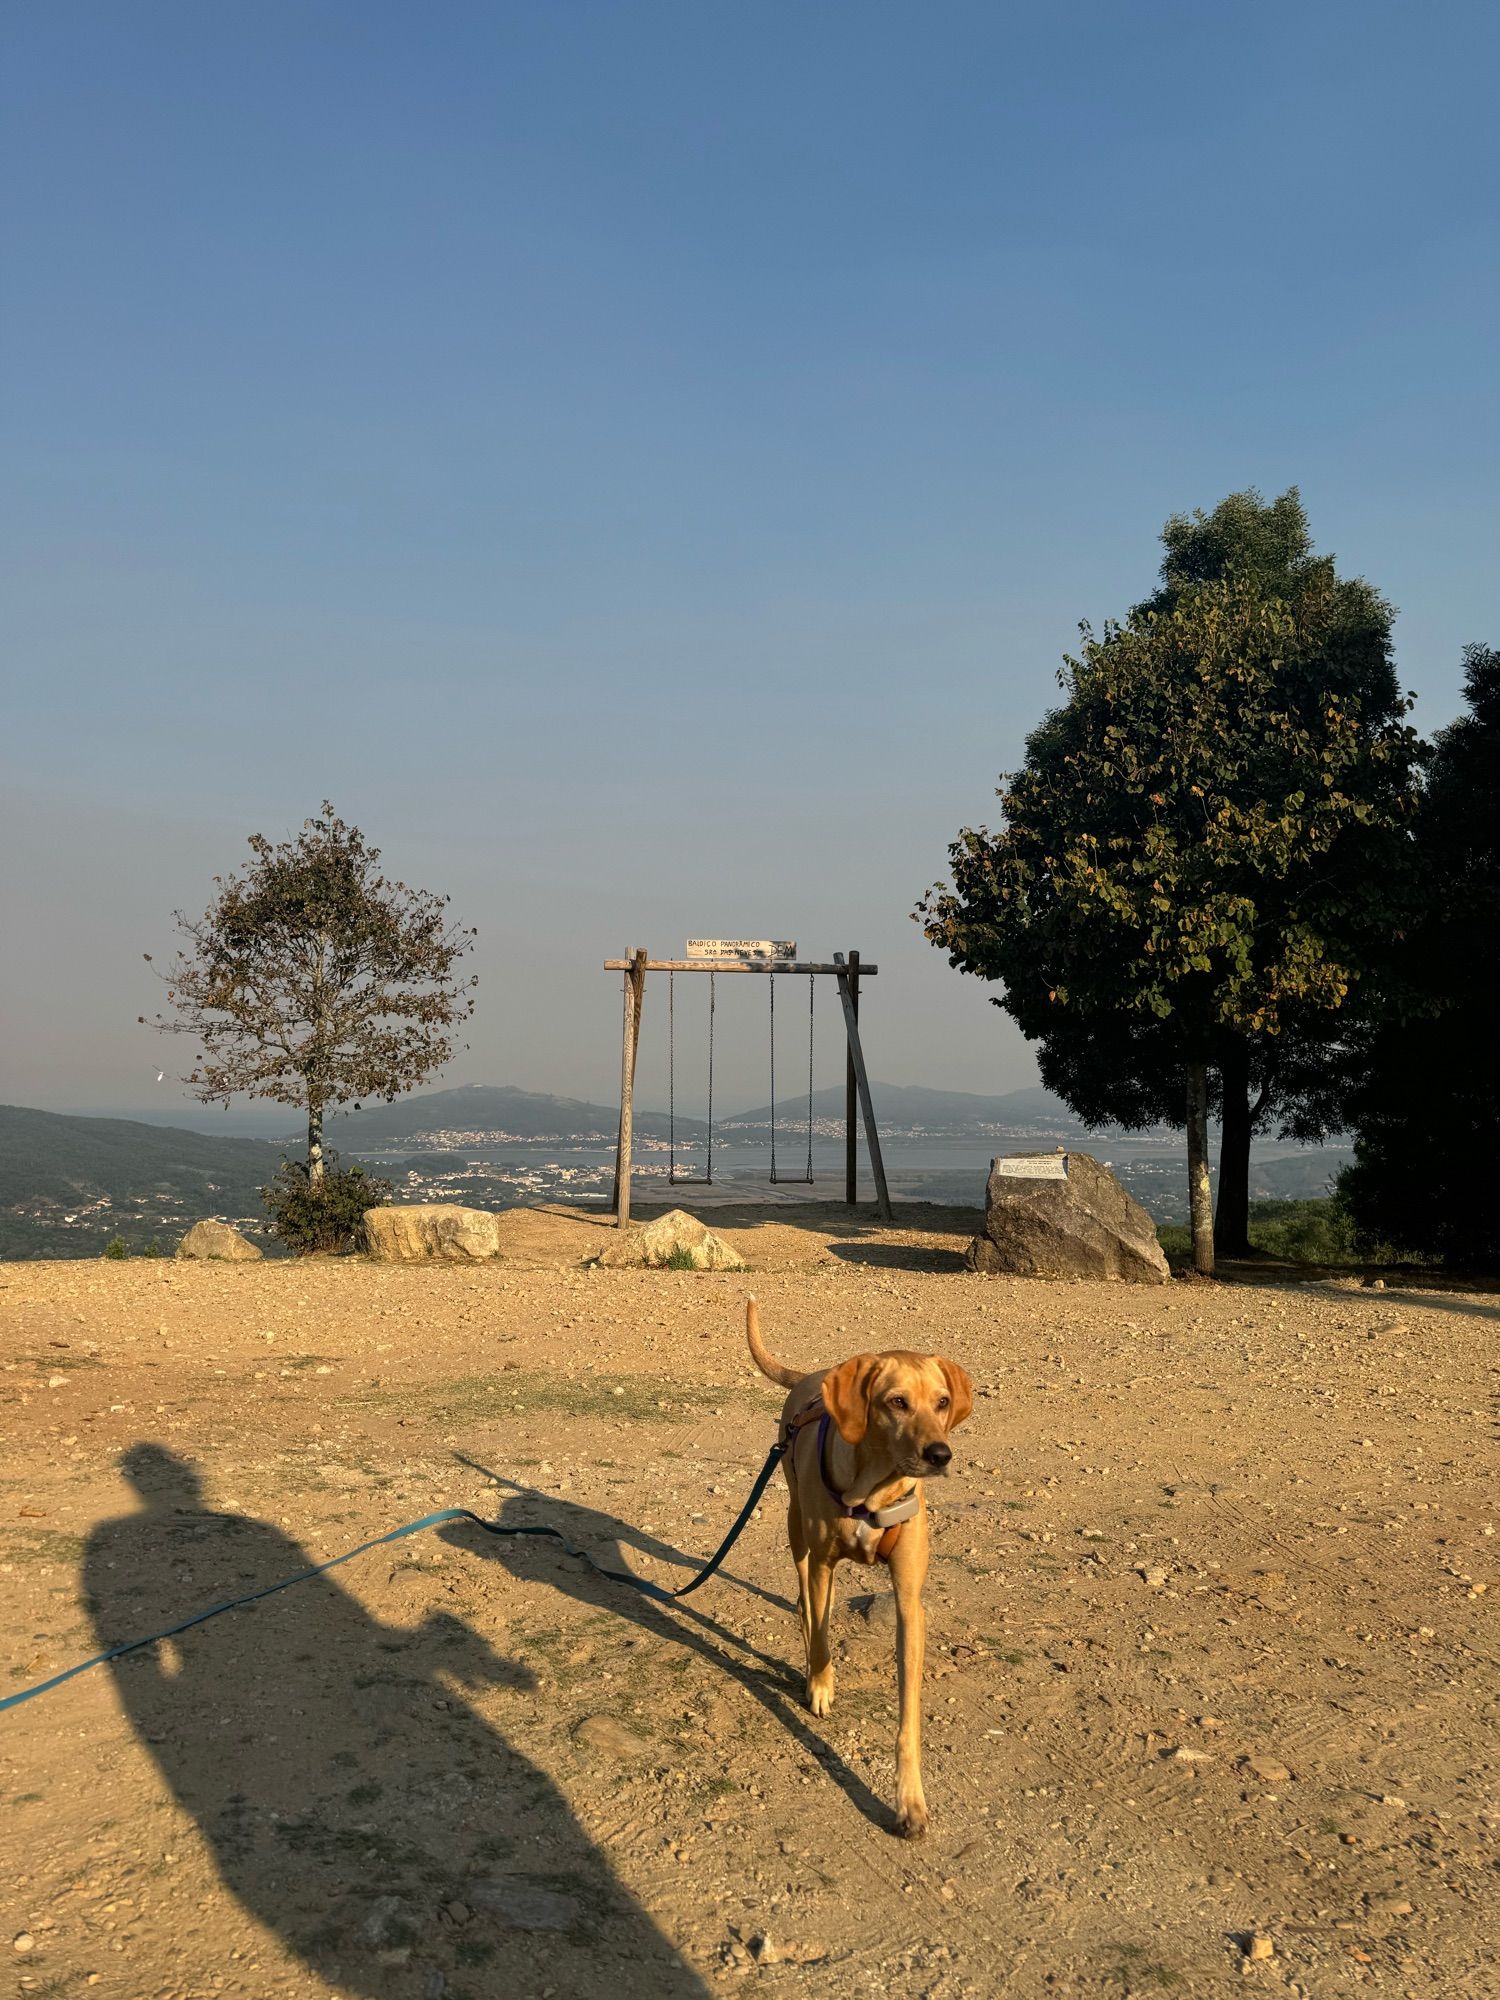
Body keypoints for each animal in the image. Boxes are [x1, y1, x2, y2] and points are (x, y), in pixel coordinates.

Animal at [748, 1296, 980, 1840]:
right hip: (795, 1525)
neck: (873, 1488)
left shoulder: (909, 1602)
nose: (940, 1454)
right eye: (897, 1402)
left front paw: (910, 1801)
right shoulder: (822, 1562)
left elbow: (908, 1716)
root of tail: (813, 1376)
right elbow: (821, 1636)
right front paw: (820, 1685)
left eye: (942, 1402)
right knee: (806, 1598)